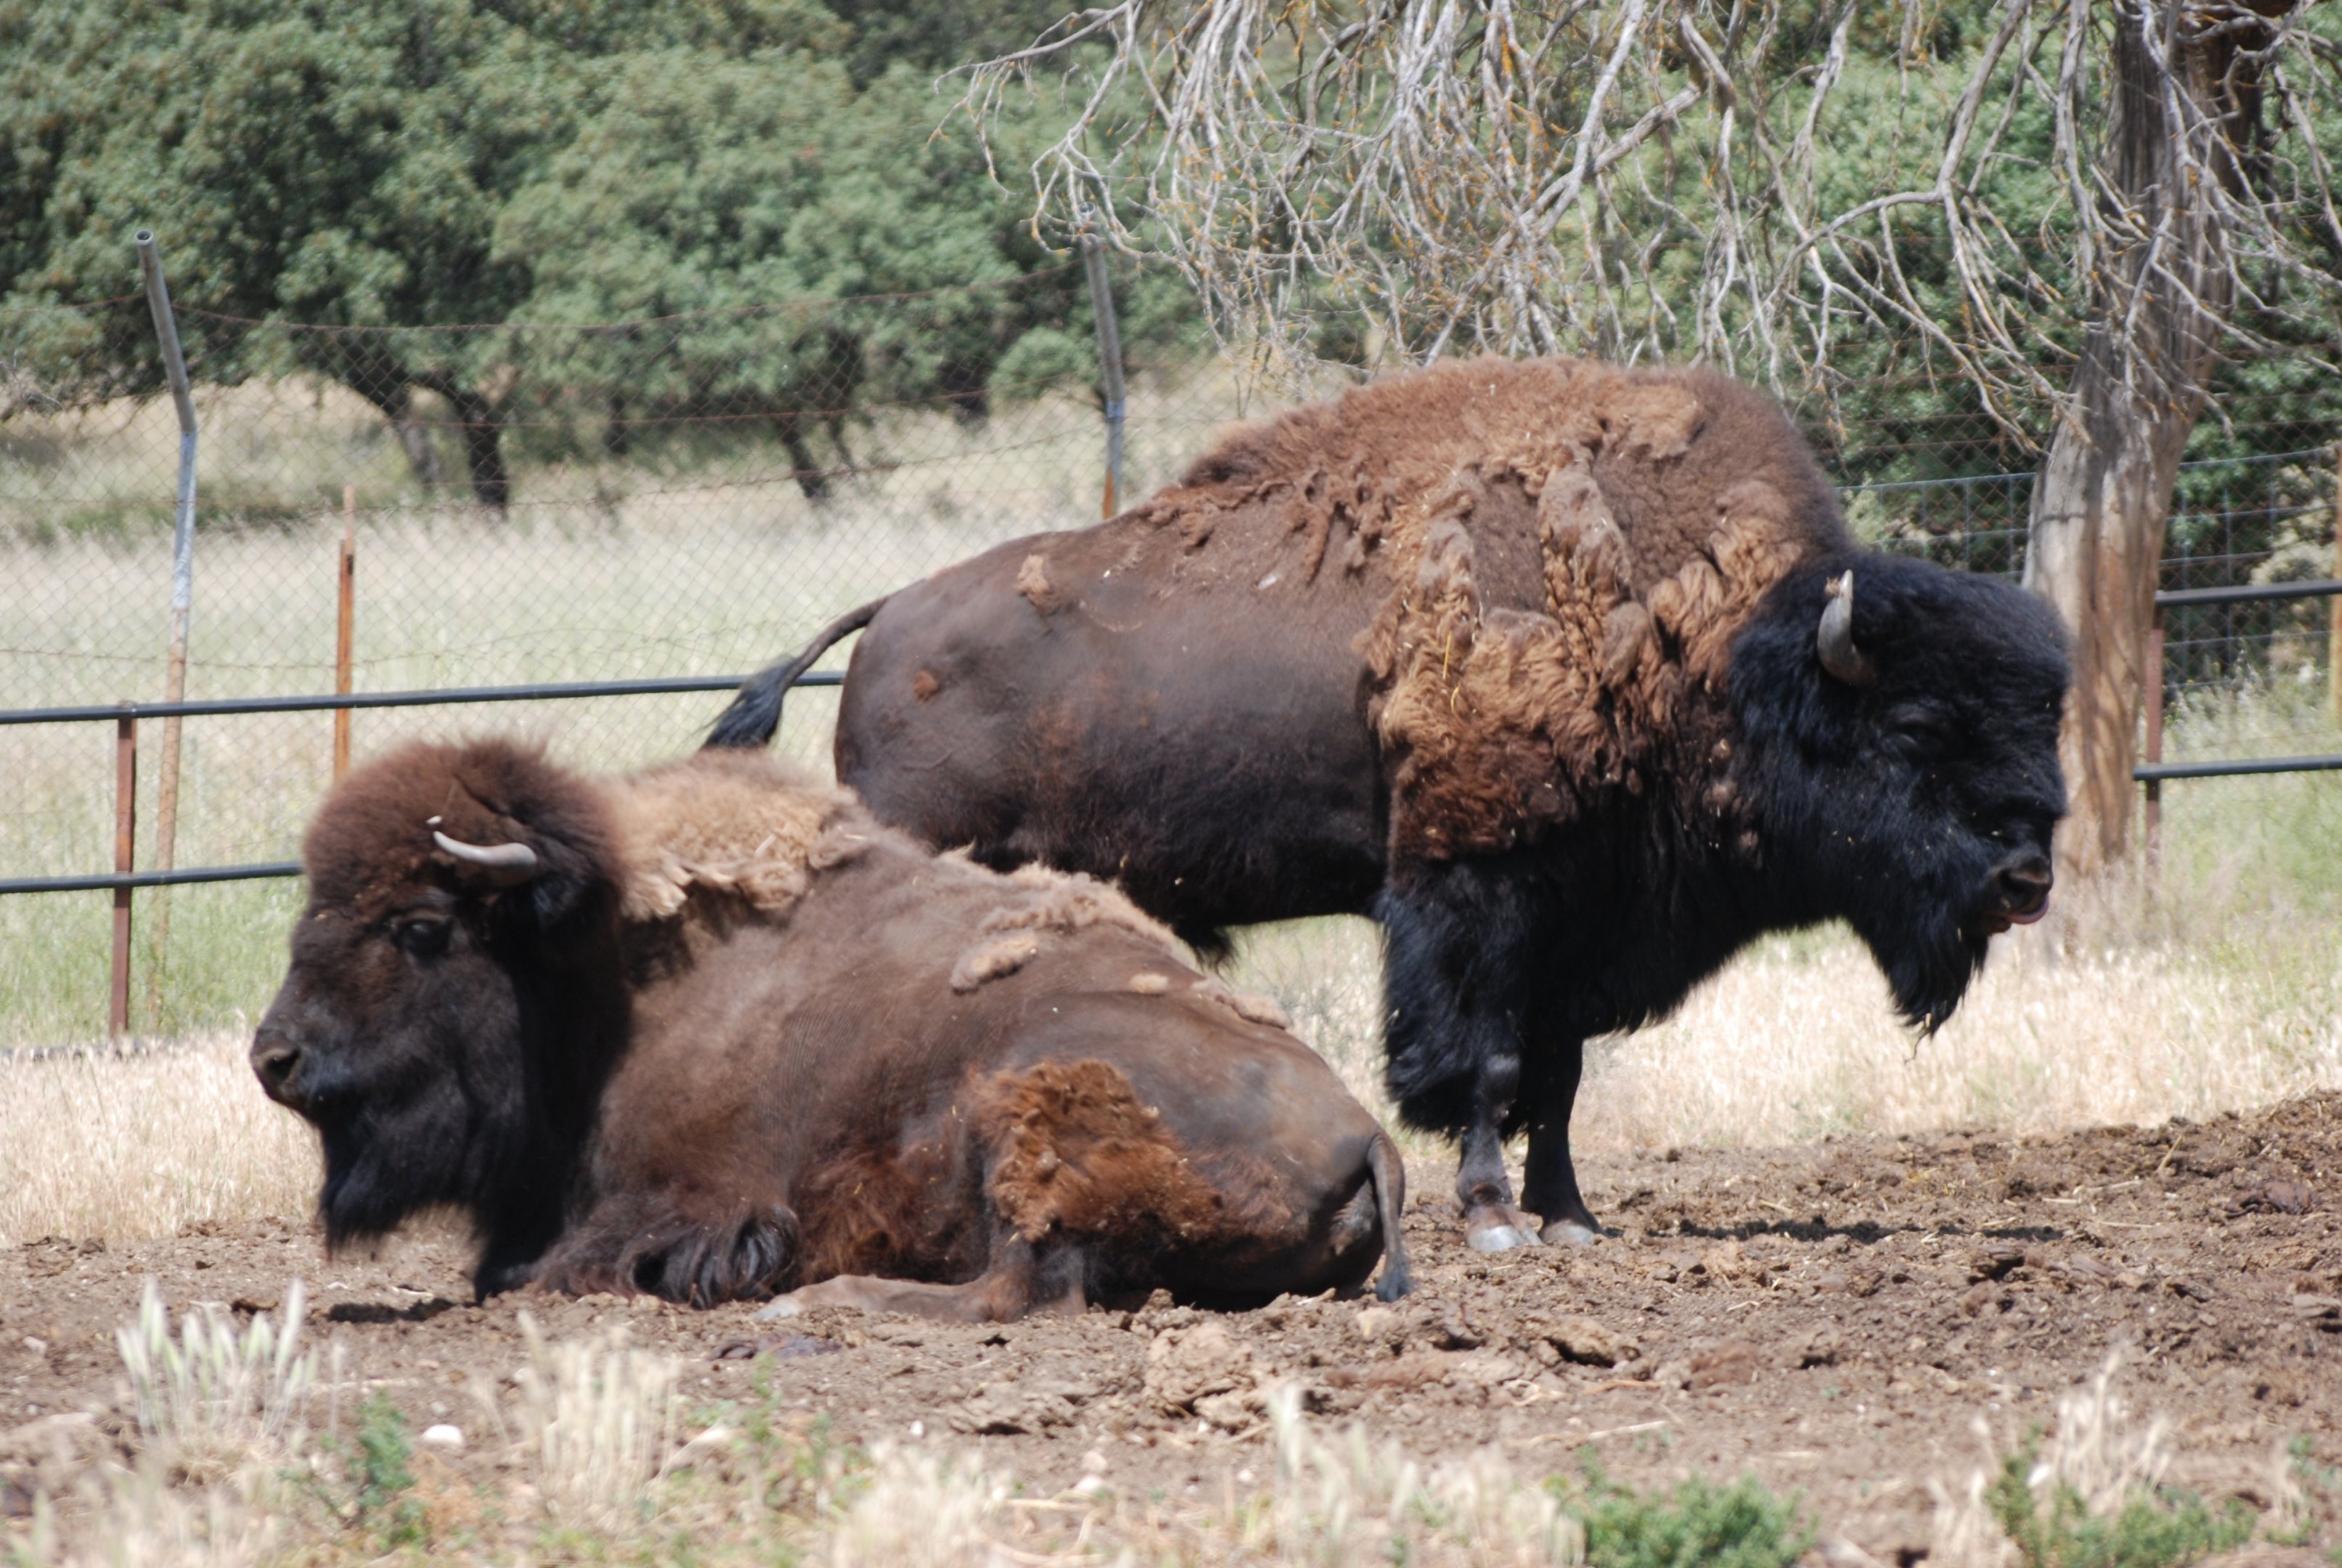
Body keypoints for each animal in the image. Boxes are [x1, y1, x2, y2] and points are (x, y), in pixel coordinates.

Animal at [251, 740, 1411, 1316]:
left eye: (420, 926)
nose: (276, 1058)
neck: (600, 977)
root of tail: (1367, 1133)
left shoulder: (694, 1202)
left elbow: (537, 1272)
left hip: (1025, 1107)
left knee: (1019, 1290)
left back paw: (819, 1303)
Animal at [710, 356, 2070, 1252]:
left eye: (2035, 724)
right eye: (1914, 732)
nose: (2025, 880)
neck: (1701, 647)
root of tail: (886, 620)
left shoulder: (1572, 917)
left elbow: (1558, 1077)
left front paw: (1570, 1218)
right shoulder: (1465, 892)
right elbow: (1483, 1061)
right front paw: (1492, 1219)